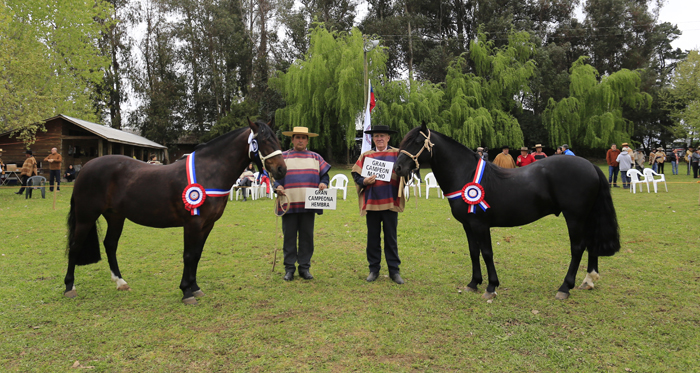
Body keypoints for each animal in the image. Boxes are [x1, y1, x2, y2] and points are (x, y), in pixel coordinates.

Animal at [63, 118, 288, 302]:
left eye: (276, 139)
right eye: (264, 141)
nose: (281, 170)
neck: (208, 172)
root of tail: (86, 167)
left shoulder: (207, 224)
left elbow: (197, 254)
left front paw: (195, 288)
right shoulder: (192, 223)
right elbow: (188, 255)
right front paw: (186, 292)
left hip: (116, 217)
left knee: (110, 244)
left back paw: (121, 282)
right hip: (86, 217)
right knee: (75, 246)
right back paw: (69, 287)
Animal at [396, 123, 620, 300]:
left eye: (417, 141)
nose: (398, 168)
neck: (465, 173)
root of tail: (590, 165)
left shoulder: (480, 225)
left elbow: (487, 253)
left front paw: (490, 287)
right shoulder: (468, 225)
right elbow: (473, 252)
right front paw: (473, 284)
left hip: (575, 217)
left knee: (578, 247)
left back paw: (565, 288)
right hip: (586, 216)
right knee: (591, 243)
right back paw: (588, 280)